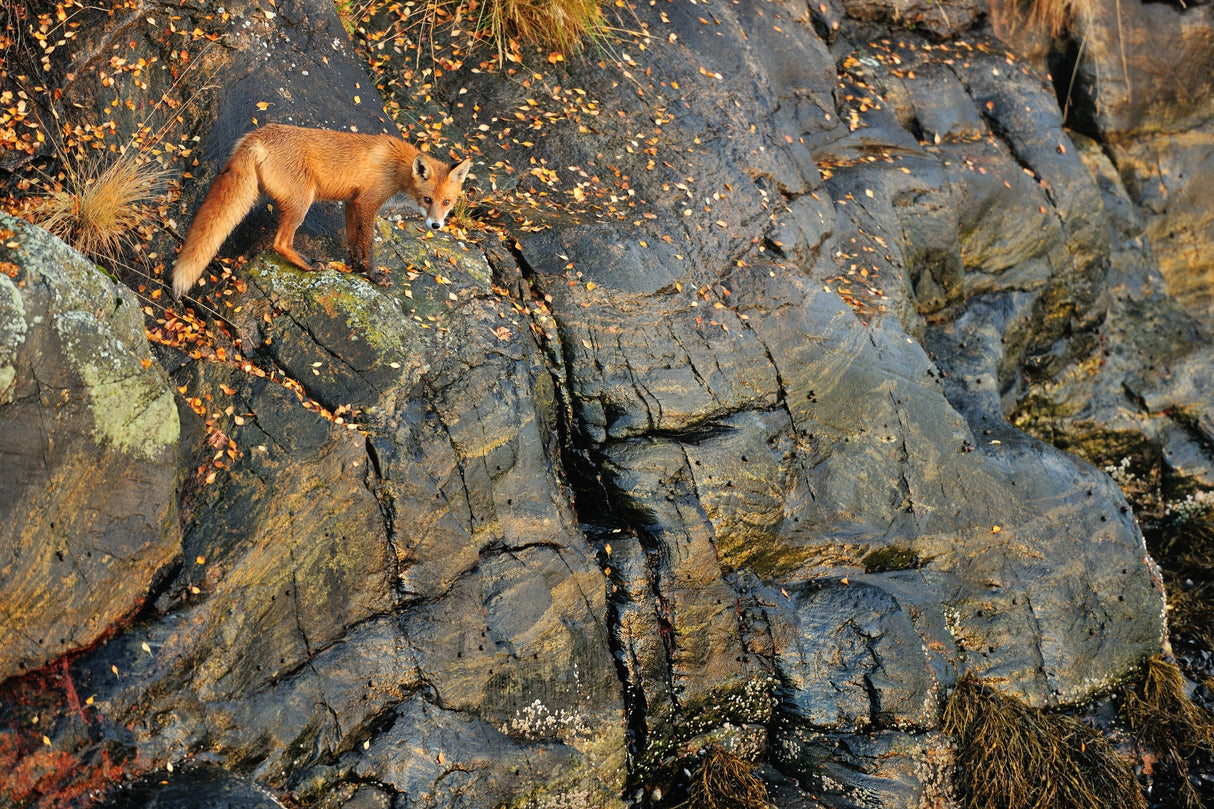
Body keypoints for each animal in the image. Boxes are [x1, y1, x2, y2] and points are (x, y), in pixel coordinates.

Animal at [171, 123, 472, 299]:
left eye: (447, 202)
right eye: (427, 199)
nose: (436, 226)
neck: (397, 167)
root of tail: (257, 136)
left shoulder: (352, 202)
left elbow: (353, 239)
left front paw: (355, 266)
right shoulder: (367, 203)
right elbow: (368, 243)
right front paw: (373, 275)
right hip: (302, 201)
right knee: (280, 243)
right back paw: (308, 264)